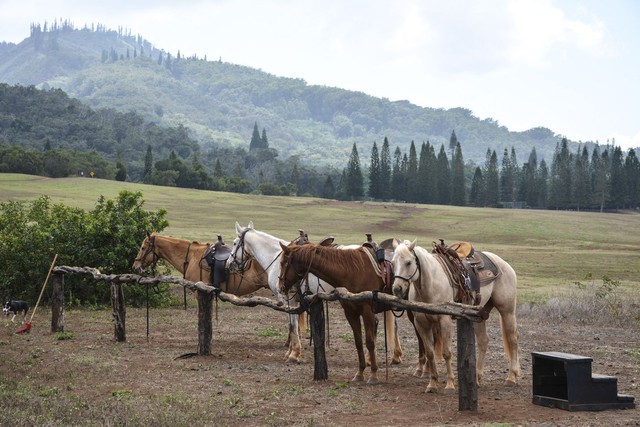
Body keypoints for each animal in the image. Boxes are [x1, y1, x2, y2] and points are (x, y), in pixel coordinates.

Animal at [278, 242, 402, 386]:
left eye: (283, 263)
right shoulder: (350, 313)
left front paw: (373, 375)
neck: (352, 272)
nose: (280, 287)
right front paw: (359, 373)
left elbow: (370, 342)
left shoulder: (367, 312)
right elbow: (358, 342)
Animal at [390, 239, 520, 392]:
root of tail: (504, 264)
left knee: (512, 339)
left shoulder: (445, 320)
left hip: (507, 310)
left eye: (409, 262)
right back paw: (477, 378)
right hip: (480, 315)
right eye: (392, 263)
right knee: (483, 341)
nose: (397, 289)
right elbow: (430, 353)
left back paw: (511, 377)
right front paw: (432, 383)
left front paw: (450, 384)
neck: (431, 283)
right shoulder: (421, 323)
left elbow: (446, 352)